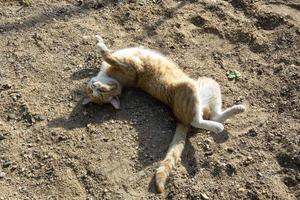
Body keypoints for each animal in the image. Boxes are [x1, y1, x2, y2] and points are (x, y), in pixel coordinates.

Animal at [82, 35, 246, 193]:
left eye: (100, 91)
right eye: (94, 92)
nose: (94, 85)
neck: (113, 79)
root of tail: (181, 117)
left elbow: (109, 55)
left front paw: (99, 40)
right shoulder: (128, 64)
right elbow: (109, 56)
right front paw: (101, 46)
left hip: (209, 83)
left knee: (215, 115)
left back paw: (238, 109)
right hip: (190, 89)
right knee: (198, 121)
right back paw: (218, 126)